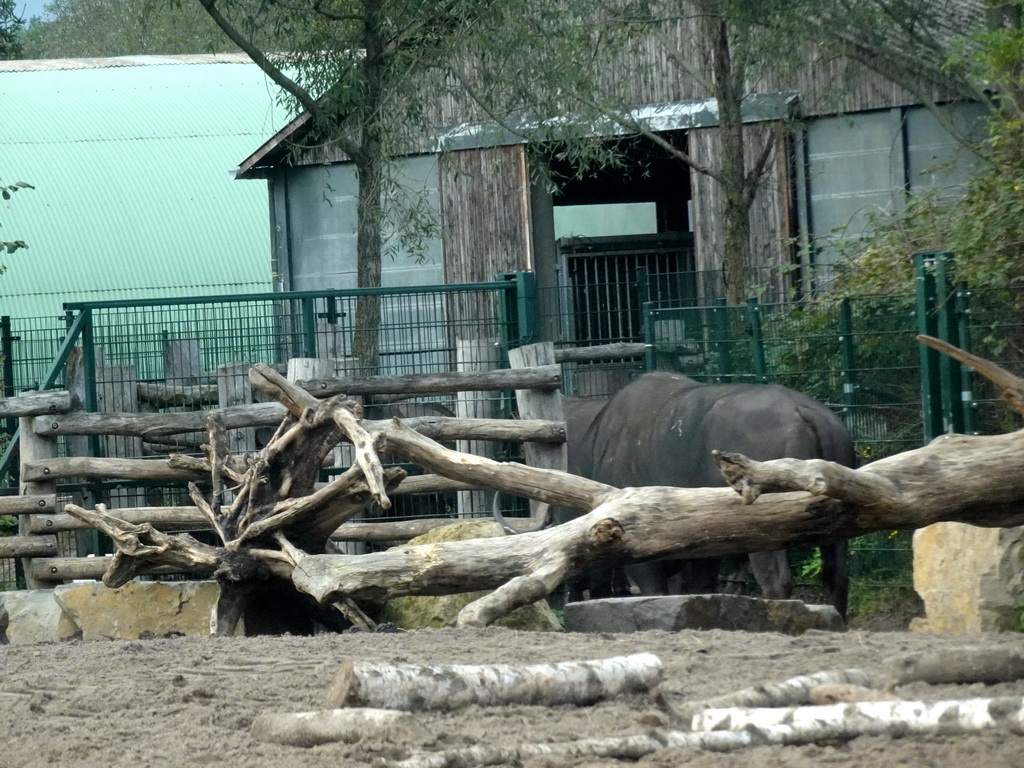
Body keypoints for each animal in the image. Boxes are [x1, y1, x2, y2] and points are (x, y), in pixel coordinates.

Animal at [561, 370, 856, 618]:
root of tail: (804, 410)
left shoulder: (643, 559)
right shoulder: (704, 551)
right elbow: (700, 587)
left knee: (777, 579)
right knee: (837, 576)